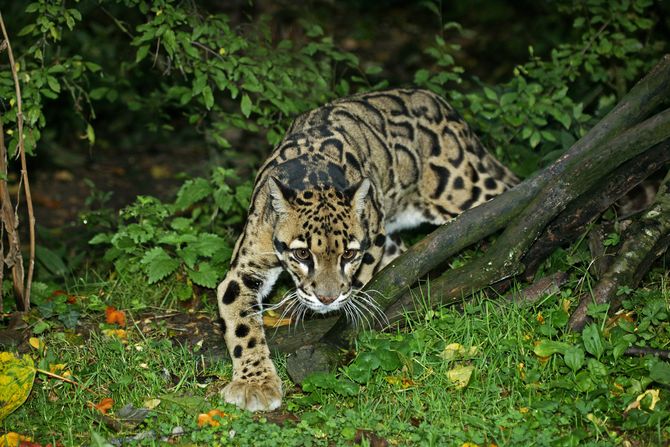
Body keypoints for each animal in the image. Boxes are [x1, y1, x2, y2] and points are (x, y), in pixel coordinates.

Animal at [216, 88, 518, 411]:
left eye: (348, 254)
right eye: (302, 254)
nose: (326, 298)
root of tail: (440, 103)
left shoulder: (374, 239)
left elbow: (359, 283)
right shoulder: (246, 265)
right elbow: (242, 324)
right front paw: (255, 382)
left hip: (462, 188)